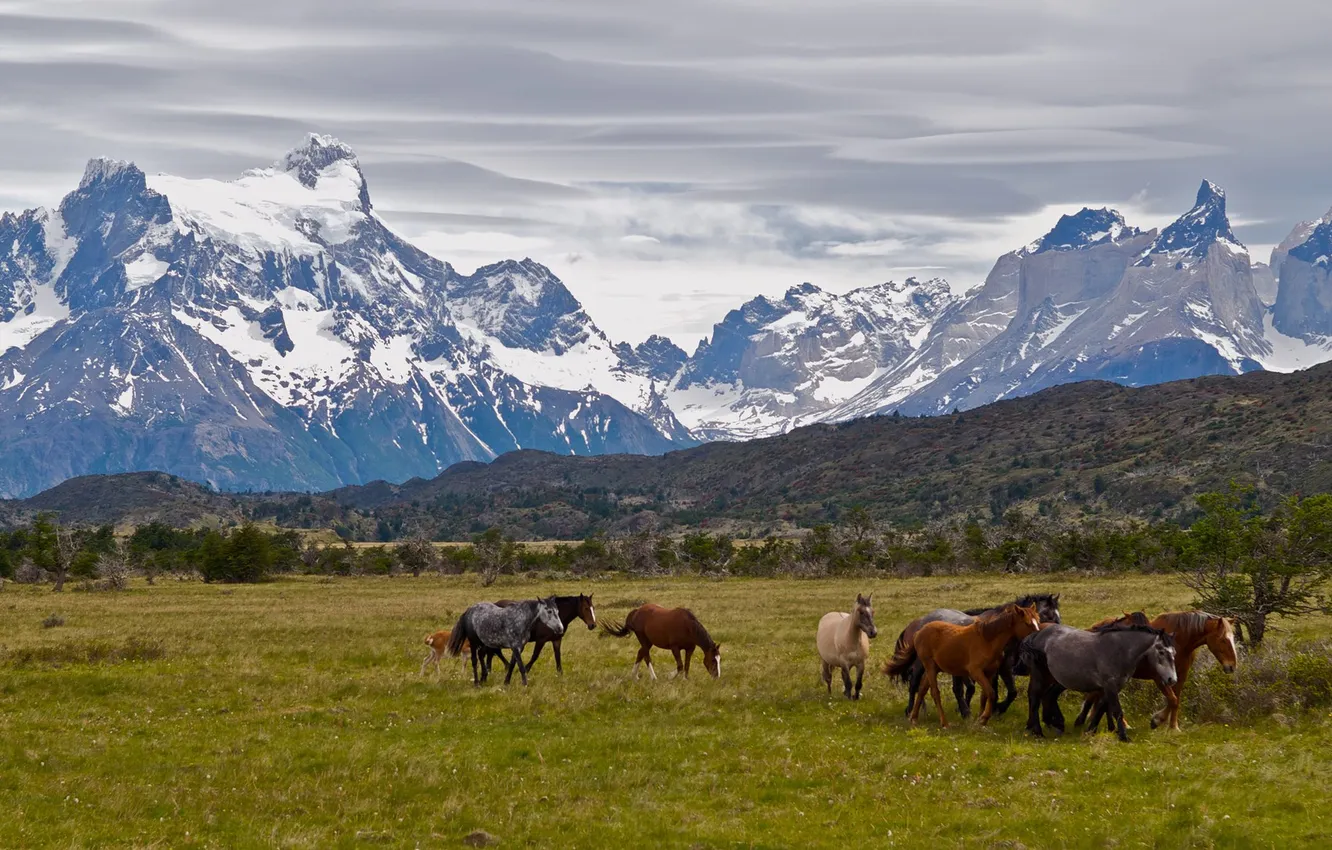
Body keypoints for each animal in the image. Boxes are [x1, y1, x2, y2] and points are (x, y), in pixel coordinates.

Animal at [884, 596, 1060, 724]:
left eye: (1057, 616)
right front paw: (990, 712)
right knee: (915, 684)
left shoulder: (1003, 668)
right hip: (923, 665)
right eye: (1048, 615)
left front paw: (995, 711)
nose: (1050, 638)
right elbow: (991, 691)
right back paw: (912, 711)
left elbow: (1010, 692)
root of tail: (918, 624)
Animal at [1017, 623, 1177, 740]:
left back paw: (1052, 725)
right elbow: (1117, 711)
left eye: (1174, 653)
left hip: (1055, 679)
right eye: (1161, 652)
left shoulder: (1113, 686)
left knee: (1047, 696)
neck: (1119, 650)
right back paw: (1038, 732)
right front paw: (1124, 737)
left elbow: (1101, 708)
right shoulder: (1110, 685)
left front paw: (1090, 730)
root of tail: (1037, 635)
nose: (1172, 679)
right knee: (1035, 698)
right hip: (1040, 676)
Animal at [1070, 612, 1236, 735]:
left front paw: (1173, 727)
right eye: (1223, 639)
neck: (1179, 641)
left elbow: (1175, 700)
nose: (1232, 666)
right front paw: (1157, 720)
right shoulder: (1160, 678)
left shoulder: (1179, 677)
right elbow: (1173, 700)